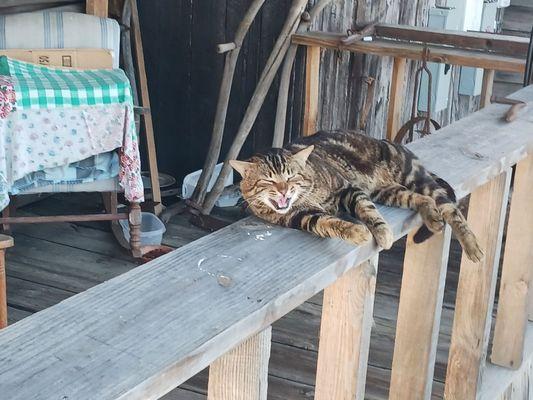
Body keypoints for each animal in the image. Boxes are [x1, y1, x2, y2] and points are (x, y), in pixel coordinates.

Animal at [229, 130, 482, 264]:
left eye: (291, 177)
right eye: (268, 181)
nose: (283, 191)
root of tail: (383, 140)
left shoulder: (347, 188)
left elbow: (367, 210)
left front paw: (382, 234)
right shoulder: (300, 216)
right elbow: (327, 222)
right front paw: (357, 232)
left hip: (412, 175)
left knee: (449, 207)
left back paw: (472, 247)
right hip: (388, 191)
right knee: (424, 200)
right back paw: (433, 219)